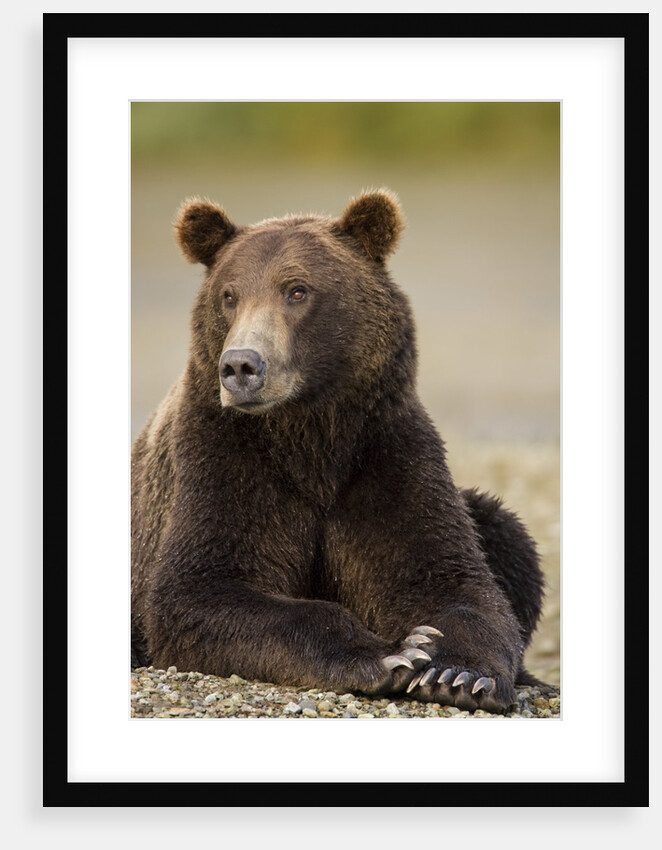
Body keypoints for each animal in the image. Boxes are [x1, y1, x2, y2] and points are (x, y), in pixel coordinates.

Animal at [131, 189, 545, 714]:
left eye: (297, 290)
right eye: (229, 295)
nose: (241, 366)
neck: (309, 436)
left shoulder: (382, 452)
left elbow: (451, 579)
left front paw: (458, 673)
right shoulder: (223, 458)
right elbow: (200, 590)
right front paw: (391, 653)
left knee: (505, 530)